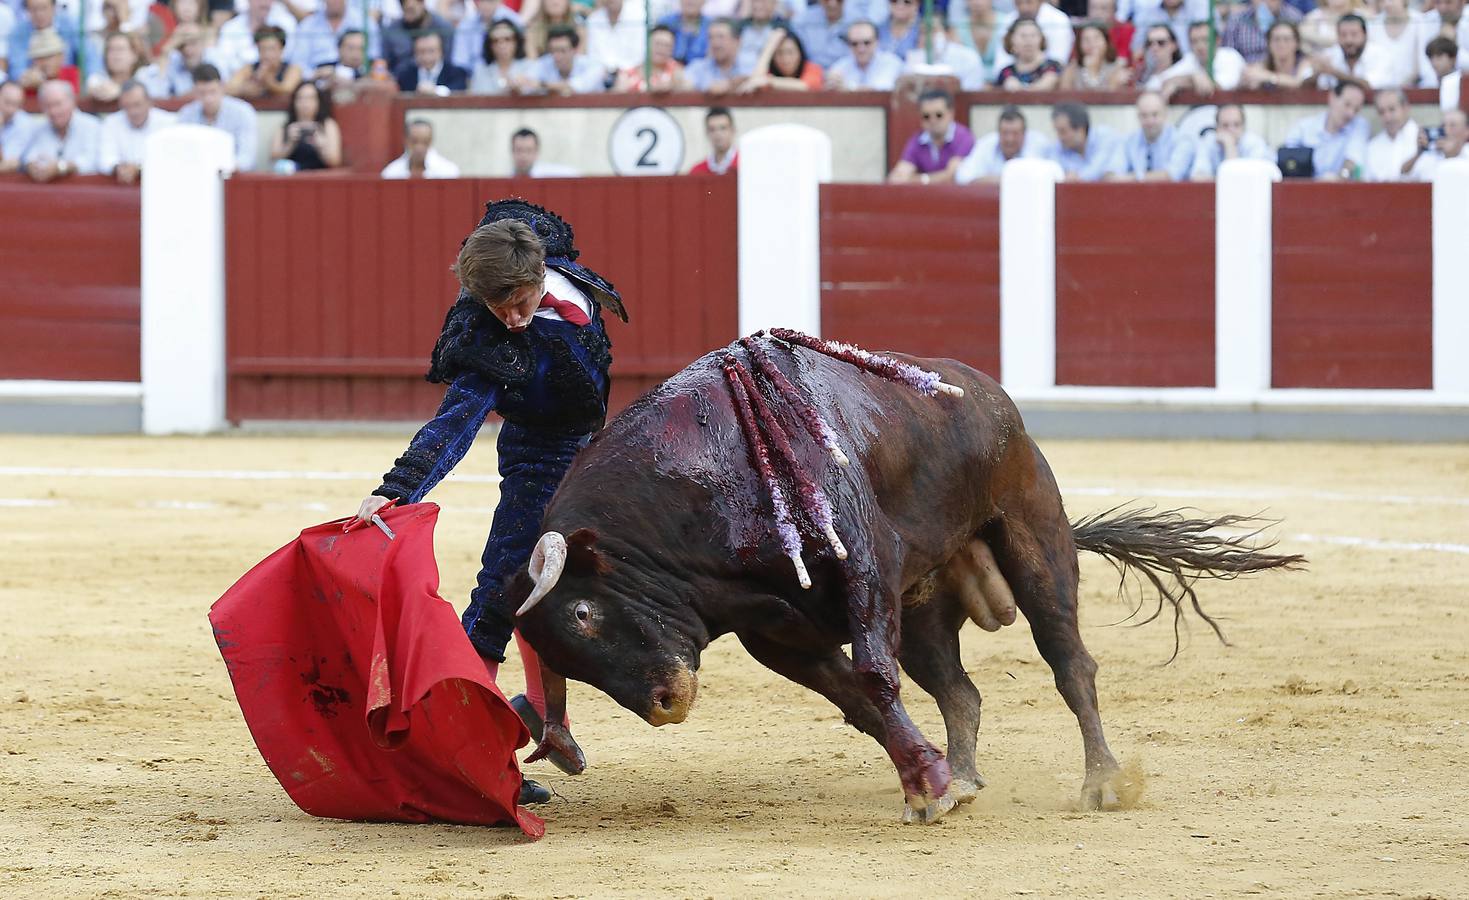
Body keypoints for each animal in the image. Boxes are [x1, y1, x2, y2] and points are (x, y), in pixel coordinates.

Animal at [505, 331, 1298, 822]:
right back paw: (969, 775)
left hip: (1033, 536)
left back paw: (1102, 781)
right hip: (921, 607)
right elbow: (862, 698)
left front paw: (927, 790)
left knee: (1069, 662)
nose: (665, 704)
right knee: (960, 690)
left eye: (582, 614)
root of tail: (986, 395)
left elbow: (874, 680)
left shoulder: (863, 572)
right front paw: (931, 782)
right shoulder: (778, 635)